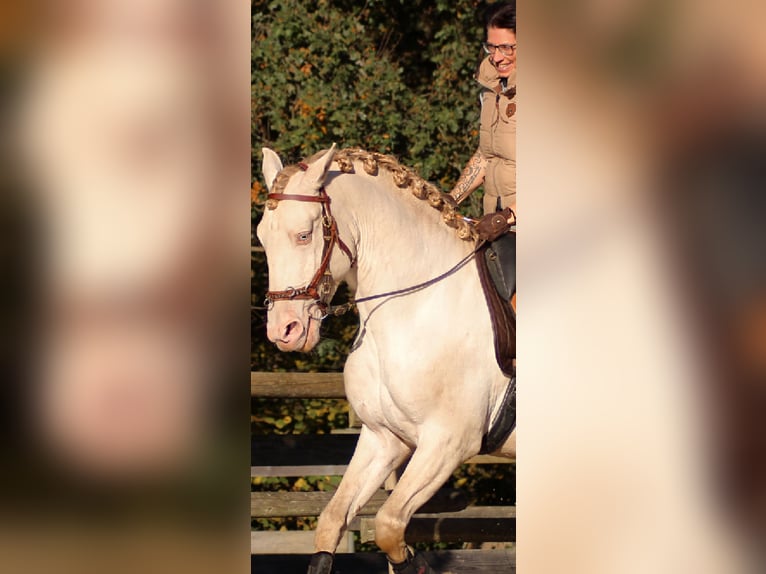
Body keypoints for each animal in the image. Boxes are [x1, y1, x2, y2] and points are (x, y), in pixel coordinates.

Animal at [258, 146, 516, 574]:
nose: (284, 331)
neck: (416, 304)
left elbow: (389, 527)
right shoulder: (384, 439)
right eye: (262, 237)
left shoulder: (447, 443)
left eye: (304, 234)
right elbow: (332, 522)